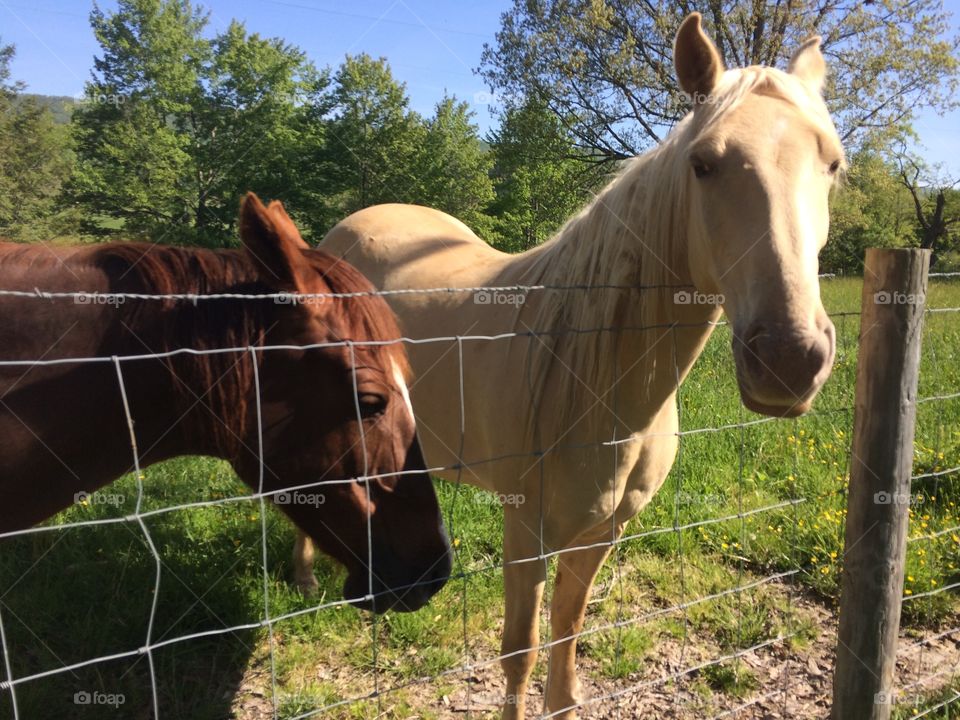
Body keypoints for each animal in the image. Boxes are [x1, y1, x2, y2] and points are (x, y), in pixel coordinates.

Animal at [316, 12, 840, 720]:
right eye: (703, 164)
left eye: (833, 164)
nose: (787, 358)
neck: (594, 376)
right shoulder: (524, 526)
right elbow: (519, 651)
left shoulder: (602, 532)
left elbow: (565, 644)